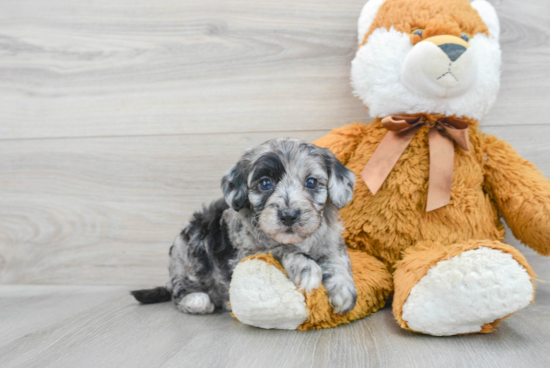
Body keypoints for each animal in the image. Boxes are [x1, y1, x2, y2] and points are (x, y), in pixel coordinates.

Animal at [132, 137, 360, 314]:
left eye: (311, 182)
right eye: (265, 184)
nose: (288, 216)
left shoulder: (331, 241)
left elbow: (338, 259)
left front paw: (343, 289)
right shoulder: (248, 253)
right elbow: (279, 249)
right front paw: (306, 268)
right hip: (187, 258)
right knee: (178, 292)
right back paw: (197, 301)